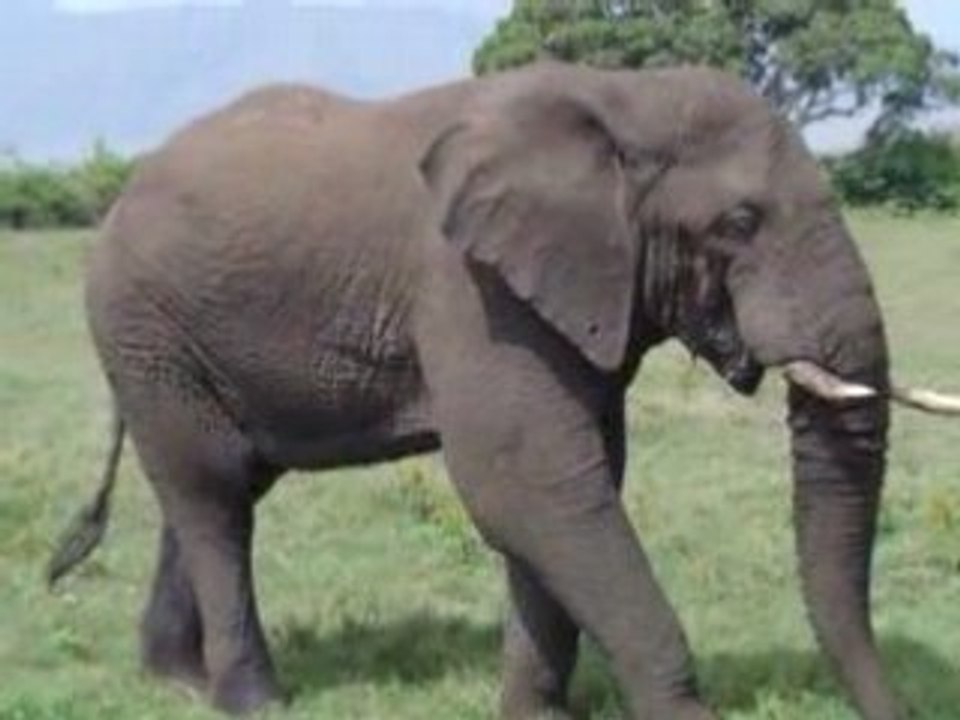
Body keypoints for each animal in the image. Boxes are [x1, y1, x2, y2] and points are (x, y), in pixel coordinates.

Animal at [48, 63, 960, 720]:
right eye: (740, 223)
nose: (899, 710)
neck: (621, 94)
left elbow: (567, 486)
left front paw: (534, 717)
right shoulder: (469, 289)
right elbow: (526, 482)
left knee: (217, 485)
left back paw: (173, 680)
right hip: (142, 324)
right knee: (213, 499)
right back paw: (253, 702)